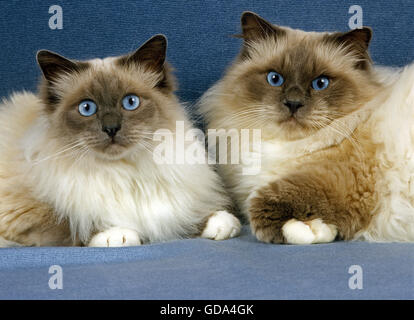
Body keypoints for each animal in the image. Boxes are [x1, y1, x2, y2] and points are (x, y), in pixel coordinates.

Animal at [0, 33, 241, 246]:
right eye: (87, 108)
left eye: (130, 102)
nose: (111, 128)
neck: (124, 171)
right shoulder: (22, 210)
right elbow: (71, 223)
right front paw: (116, 236)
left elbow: (180, 213)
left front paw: (219, 223)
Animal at [198, 11, 414, 244]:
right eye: (275, 79)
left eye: (320, 83)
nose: (293, 103)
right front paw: (315, 228)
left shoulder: (337, 182)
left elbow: (263, 204)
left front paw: (307, 231)